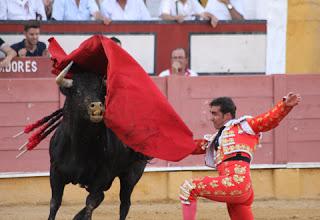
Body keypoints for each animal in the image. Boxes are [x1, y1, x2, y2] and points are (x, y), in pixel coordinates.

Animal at [48, 62, 149, 219]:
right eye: (78, 92)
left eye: (101, 91)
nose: (96, 106)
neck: (80, 143)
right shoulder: (55, 172)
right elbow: (55, 203)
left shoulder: (101, 178)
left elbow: (90, 204)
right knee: (103, 197)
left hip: (132, 174)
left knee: (124, 204)